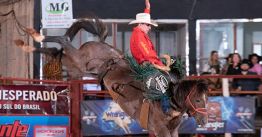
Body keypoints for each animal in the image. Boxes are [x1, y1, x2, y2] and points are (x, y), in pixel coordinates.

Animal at [16, 16, 209, 136]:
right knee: (63, 41)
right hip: (78, 60)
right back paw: (34, 37)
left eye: (207, 99)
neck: (167, 98)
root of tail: (101, 44)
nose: (205, 120)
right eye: (198, 99)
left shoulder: (172, 130)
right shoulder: (161, 129)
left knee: (58, 50)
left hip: (76, 66)